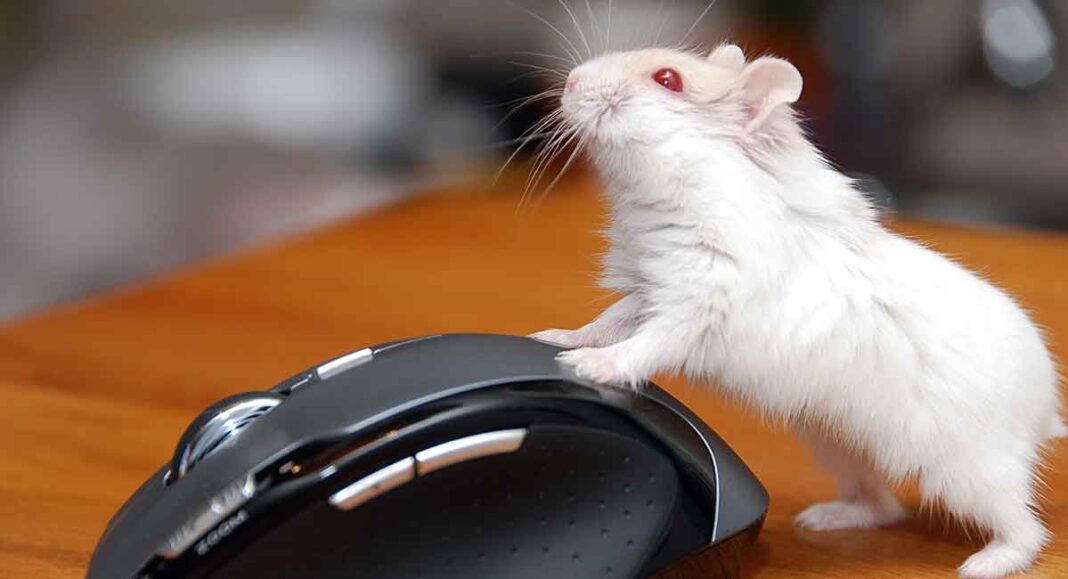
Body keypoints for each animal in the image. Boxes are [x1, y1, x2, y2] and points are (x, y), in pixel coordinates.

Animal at [530, 44, 1064, 578]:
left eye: (667, 79)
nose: (570, 82)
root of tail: (1043, 409)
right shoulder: (646, 293)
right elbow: (607, 322)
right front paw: (550, 339)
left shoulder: (699, 305)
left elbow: (644, 346)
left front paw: (587, 367)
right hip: (838, 444)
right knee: (882, 506)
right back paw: (819, 519)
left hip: (967, 470)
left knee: (1026, 528)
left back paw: (981, 564)